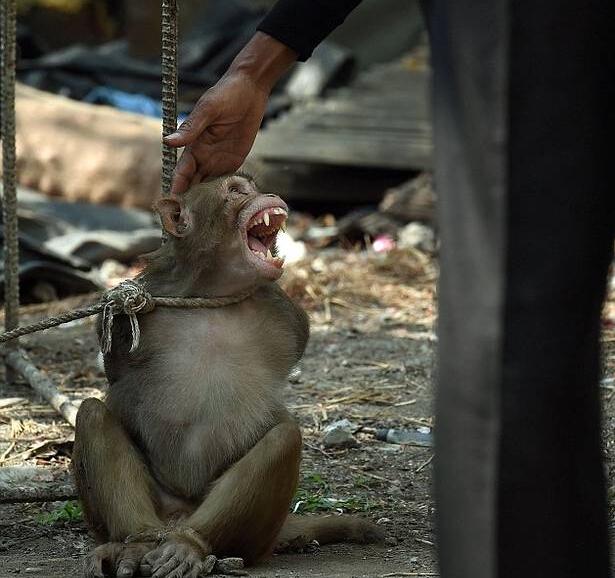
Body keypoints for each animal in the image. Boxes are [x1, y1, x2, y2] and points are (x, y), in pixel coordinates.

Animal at [71, 173, 380, 576]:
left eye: (253, 186)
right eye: (236, 191)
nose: (268, 194)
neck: (212, 293)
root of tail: (177, 518)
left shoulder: (286, 312)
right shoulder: (136, 307)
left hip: (253, 536)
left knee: (284, 439)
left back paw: (190, 545)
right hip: (153, 506)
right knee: (92, 414)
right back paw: (135, 543)